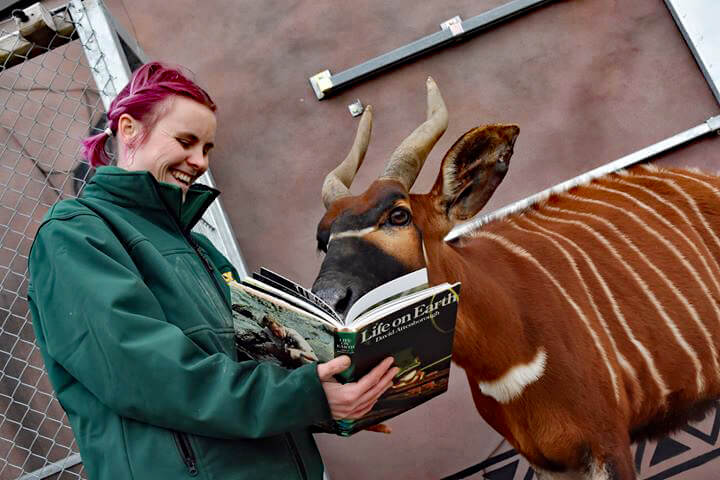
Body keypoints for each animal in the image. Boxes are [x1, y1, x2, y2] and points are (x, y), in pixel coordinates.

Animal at [312, 77, 720, 478]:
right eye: (322, 240)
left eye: (399, 215)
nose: (328, 300)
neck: (509, 352)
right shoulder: (550, 461)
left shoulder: (609, 444)